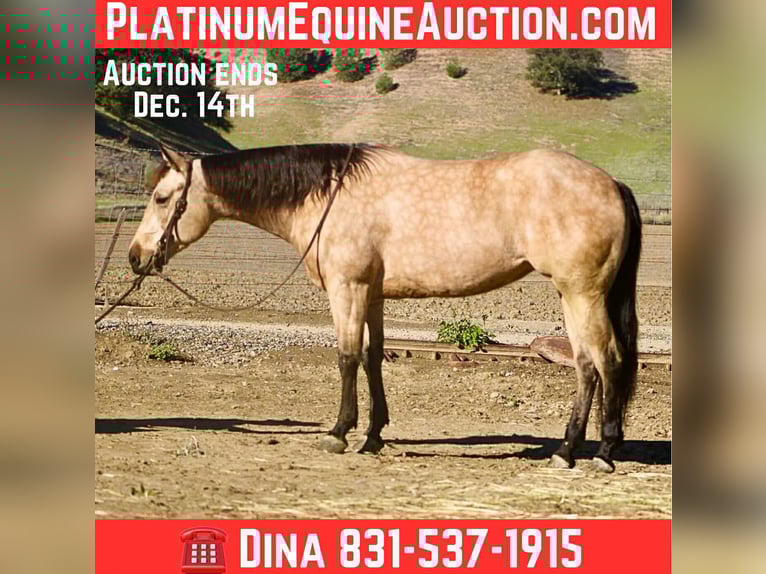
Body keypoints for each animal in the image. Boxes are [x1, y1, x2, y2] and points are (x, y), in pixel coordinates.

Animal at [128, 142, 641, 473]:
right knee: (586, 367)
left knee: (607, 361)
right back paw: (568, 449)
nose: (135, 257)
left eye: (161, 198)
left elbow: (347, 357)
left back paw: (601, 453)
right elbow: (374, 358)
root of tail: (611, 183)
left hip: (583, 294)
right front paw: (373, 435)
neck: (329, 194)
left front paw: (339, 432)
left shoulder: (347, 289)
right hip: (571, 296)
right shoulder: (371, 295)